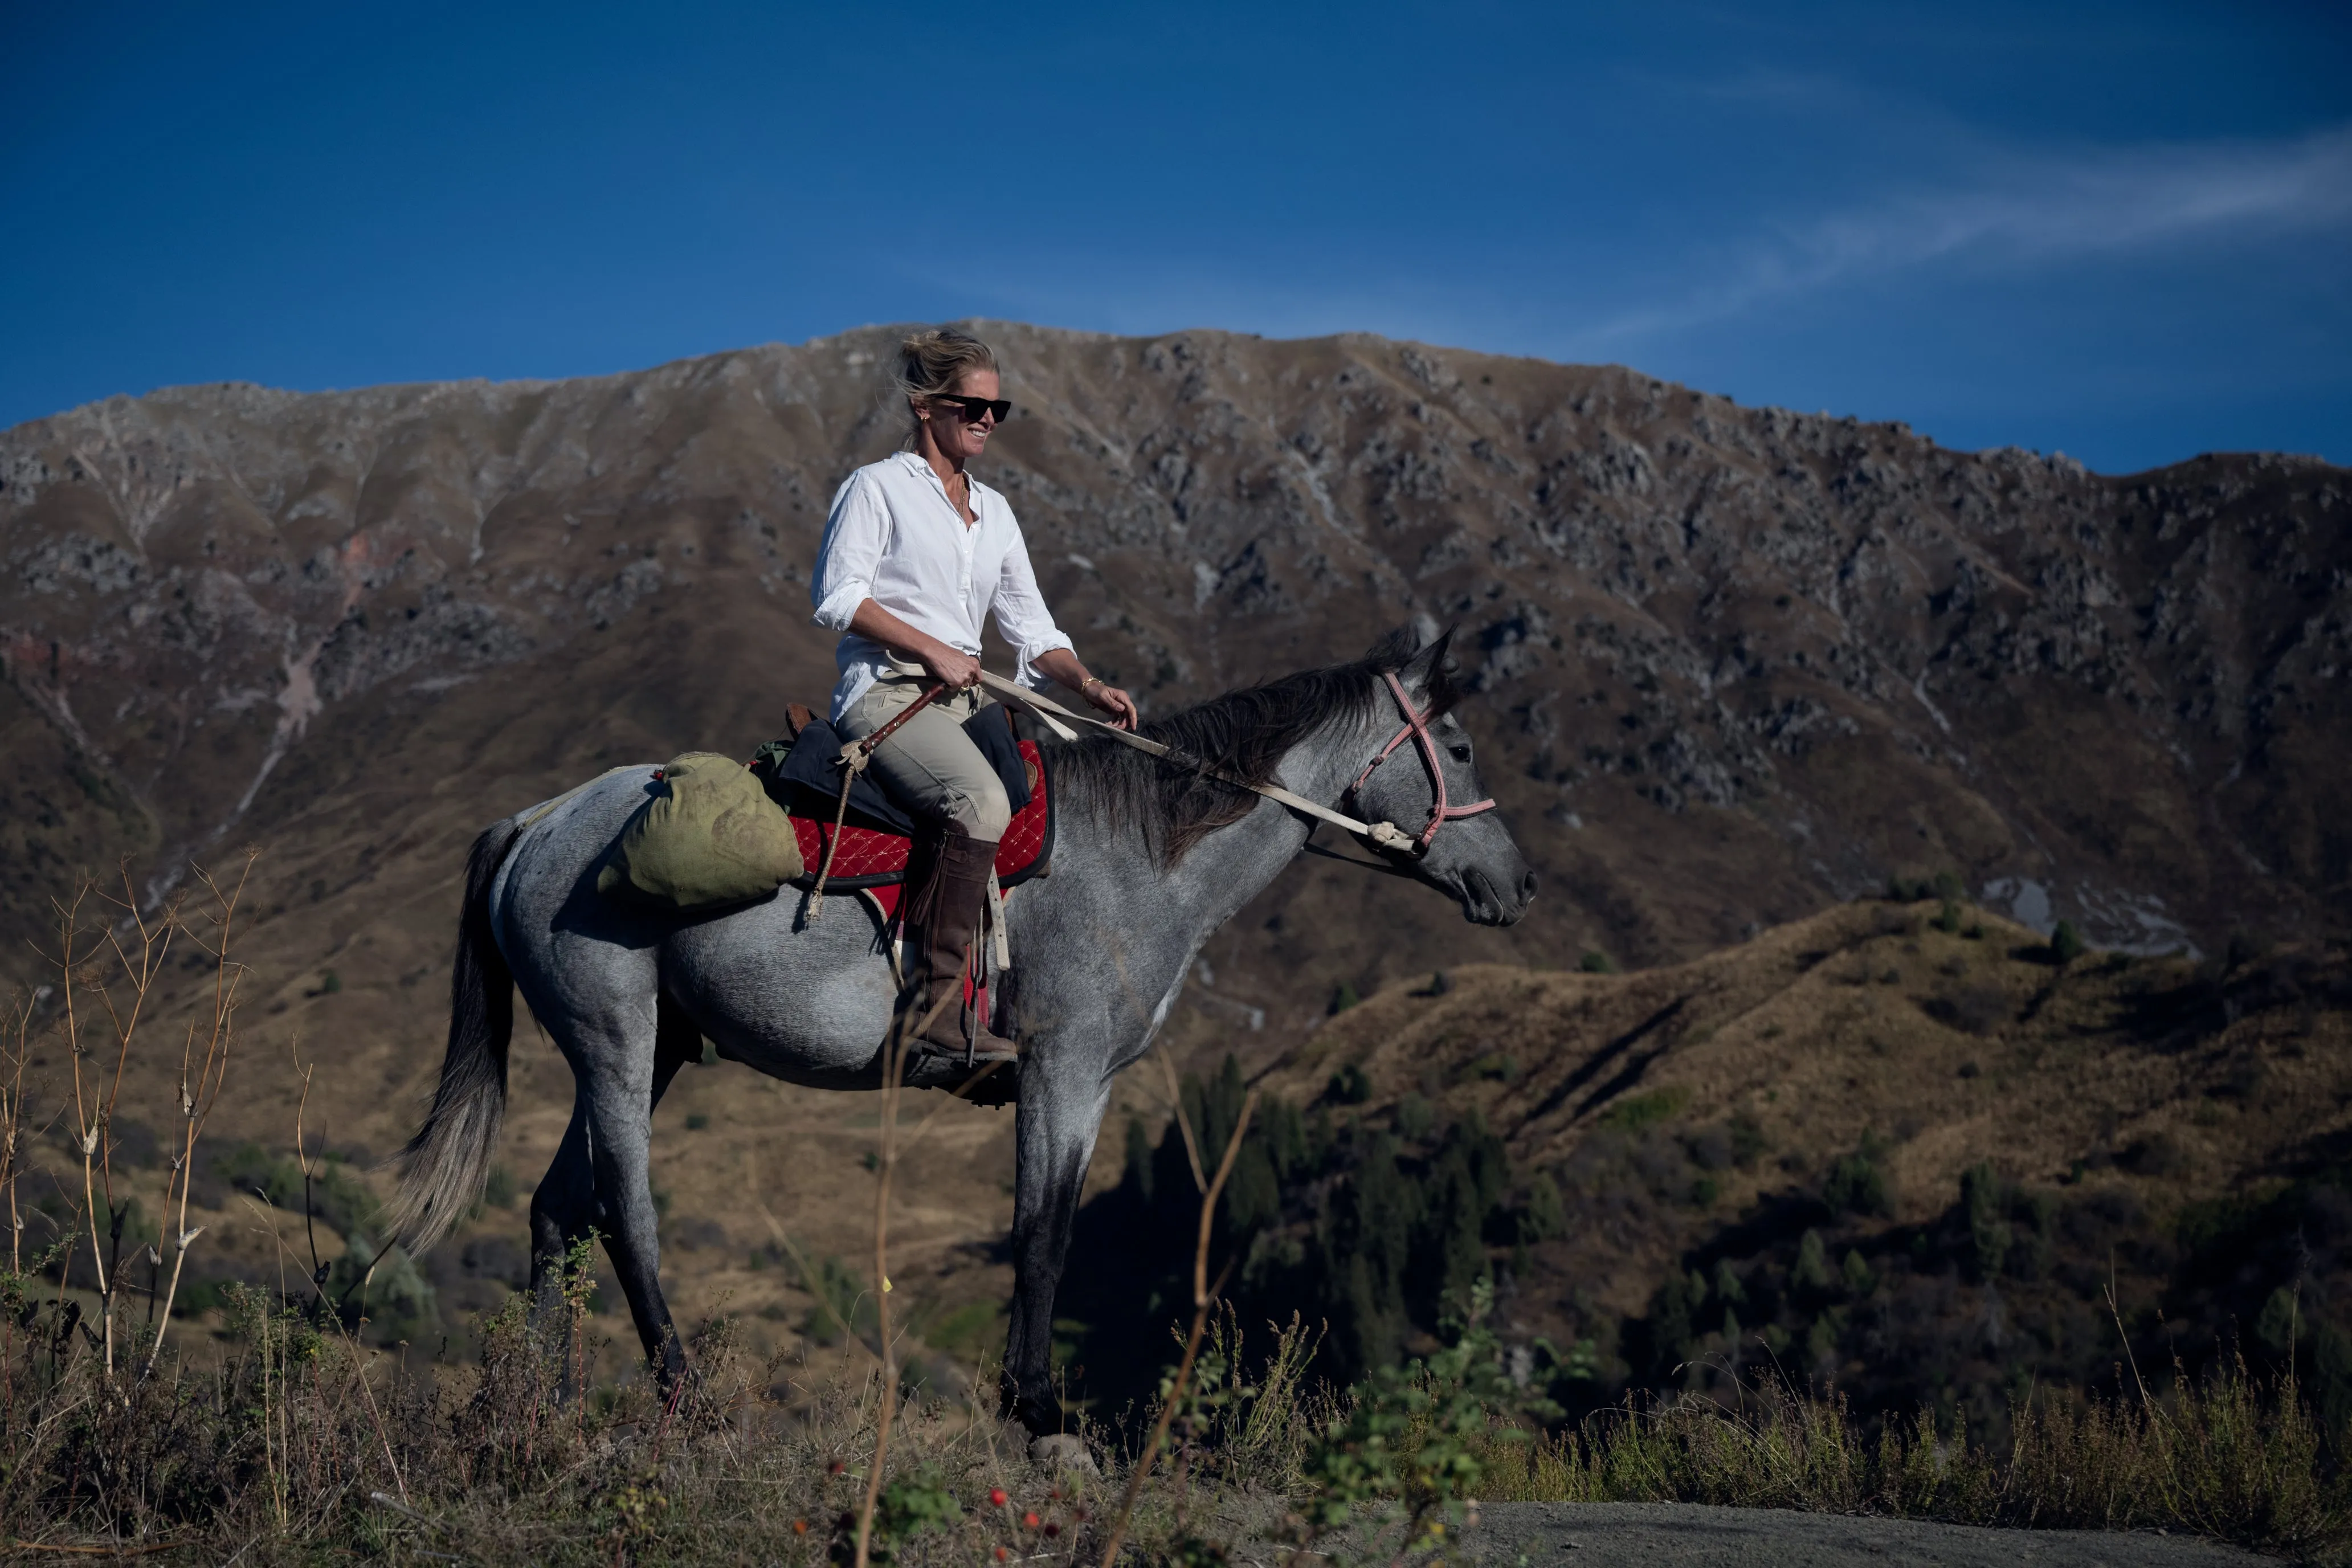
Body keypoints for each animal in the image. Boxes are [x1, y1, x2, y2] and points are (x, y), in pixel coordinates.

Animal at [385, 625, 1533, 1439]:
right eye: (1460, 744)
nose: (1517, 885)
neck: (1139, 854)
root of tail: (539, 821)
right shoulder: (1063, 1069)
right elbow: (1043, 1232)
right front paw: (1036, 1407)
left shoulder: (1085, 1083)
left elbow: (1046, 1228)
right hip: (614, 1037)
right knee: (624, 1211)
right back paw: (685, 1395)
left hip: (652, 1044)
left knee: (556, 1210)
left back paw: (533, 1403)